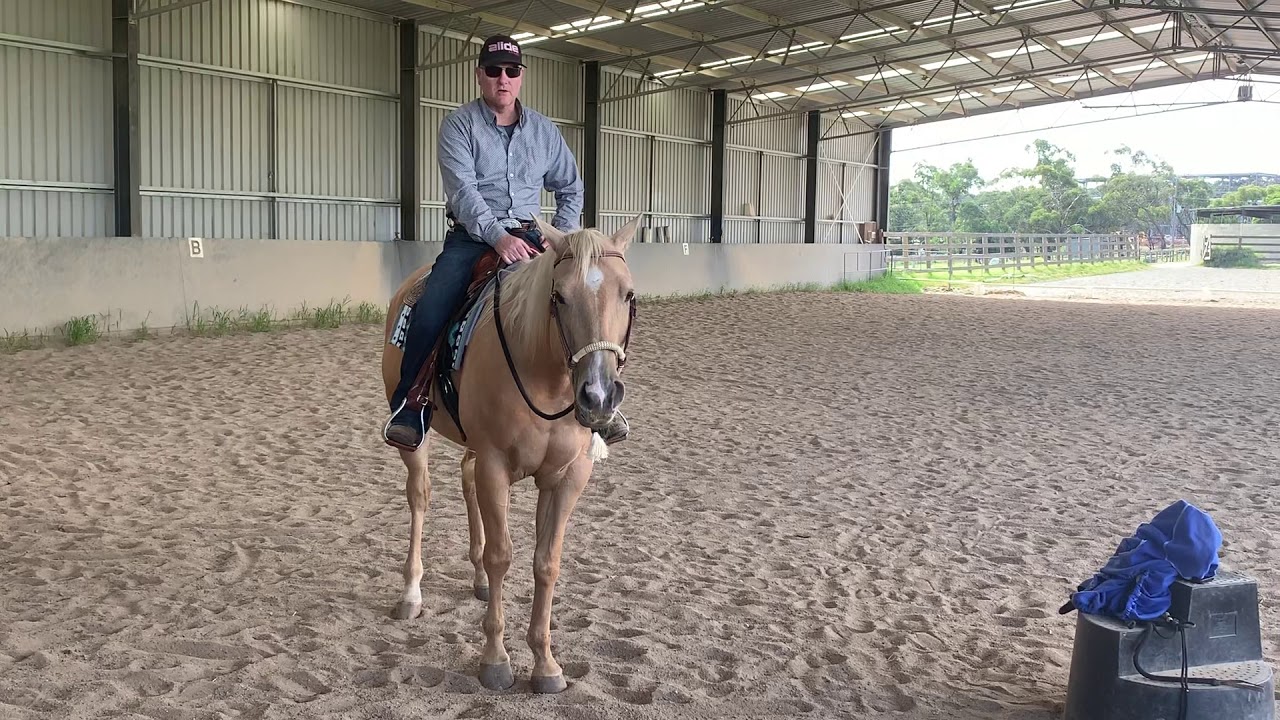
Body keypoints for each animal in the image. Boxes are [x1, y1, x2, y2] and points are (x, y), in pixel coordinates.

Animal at [378, 215, 641, 693]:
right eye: (559, 296)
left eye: (627, 295)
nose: (597, 396)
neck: (544, 371)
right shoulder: (496, 465)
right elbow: (503, 555)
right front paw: (496, 661)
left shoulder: (568, 476)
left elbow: (546, 562)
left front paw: (546, 664)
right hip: (417, 440)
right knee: (420, 497)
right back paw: (411, 594)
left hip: (473, 448)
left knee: (465, 481)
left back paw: (478, 580)